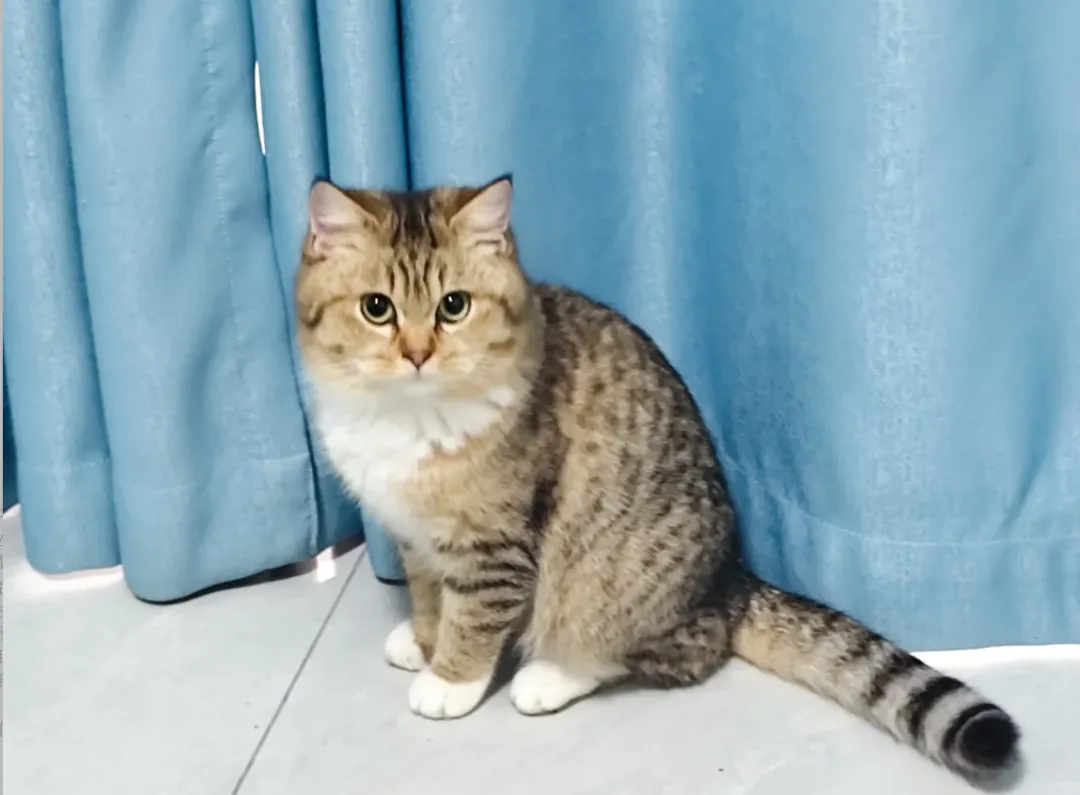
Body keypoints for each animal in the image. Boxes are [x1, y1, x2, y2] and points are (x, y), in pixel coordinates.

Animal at [295, 175, 1020, 784]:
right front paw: (423, 641)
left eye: (454, 306)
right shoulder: (415, 538)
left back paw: (551, 675)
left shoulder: (495, 546)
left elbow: (474, 616)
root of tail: (730, 579)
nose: (418, 352)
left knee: (669, 647)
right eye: (377, 308)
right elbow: (428, 598)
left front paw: (451, 680)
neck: (408, 416)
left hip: (609, 579)